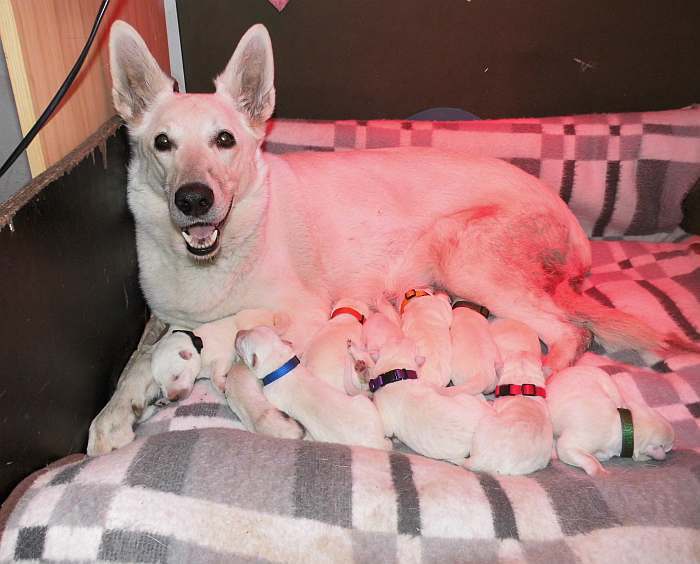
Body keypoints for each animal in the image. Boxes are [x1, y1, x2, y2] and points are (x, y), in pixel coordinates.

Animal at [150, 308, 288, 400]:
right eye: (160, 385)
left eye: (176, 377)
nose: (172, 399)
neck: (198, 345)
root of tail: (271, 314)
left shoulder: (223, 357)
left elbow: (214, 375)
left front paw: (221, 385)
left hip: (250, 322)